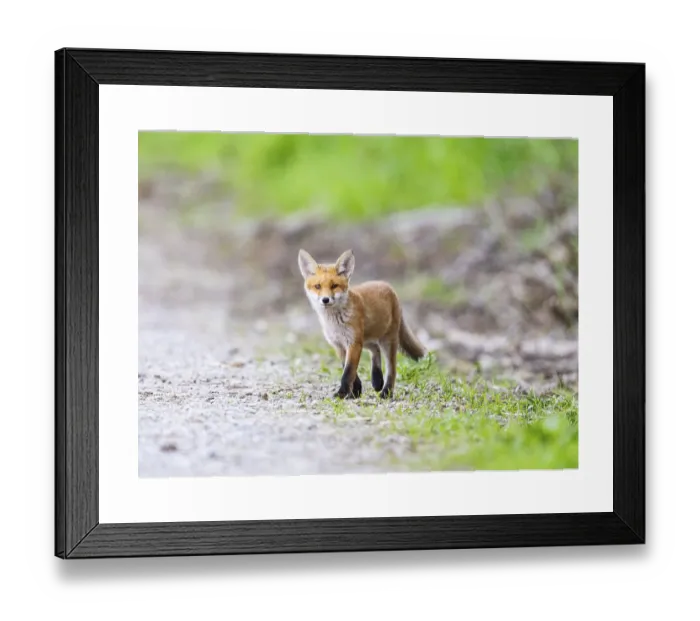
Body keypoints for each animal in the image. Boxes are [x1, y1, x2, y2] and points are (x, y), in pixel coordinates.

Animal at [298, 248, 427, 400]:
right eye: (317, 286)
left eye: (334, 286)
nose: (325, 300)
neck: (335, 323)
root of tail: (388, 285)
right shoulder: (339, 345)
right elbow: (350, 371)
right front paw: (355, 391)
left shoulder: (353, 343)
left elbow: (348, 372)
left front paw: (342, 393)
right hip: (366, 340)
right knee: (375, 350)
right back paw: (377, 380)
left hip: (387, 341)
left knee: (392, 369)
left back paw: (386, 392)